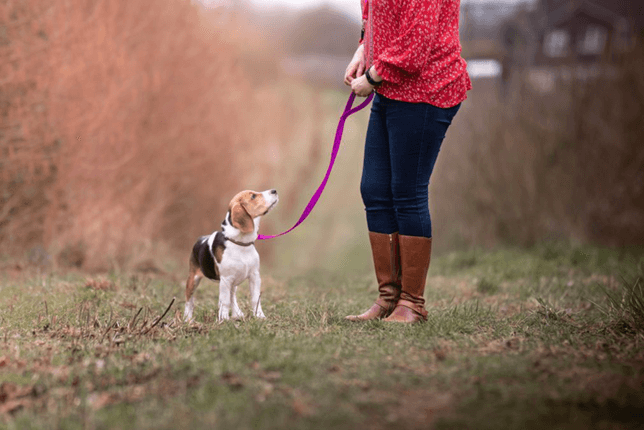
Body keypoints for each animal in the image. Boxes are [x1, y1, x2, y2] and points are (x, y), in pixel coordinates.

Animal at [184, 189, 280, 322]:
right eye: (253, 196)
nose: (274, 190)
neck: (241, 243)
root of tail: (200, 239)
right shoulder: (226, 279)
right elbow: (224, 301)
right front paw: (224, 319)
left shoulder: (255, 276)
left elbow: (255, 299)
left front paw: (259, 316)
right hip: (193, 279)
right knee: (189, 300)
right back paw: (187, 319)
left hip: (233, 283)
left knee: (232, 297)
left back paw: (237, 314)